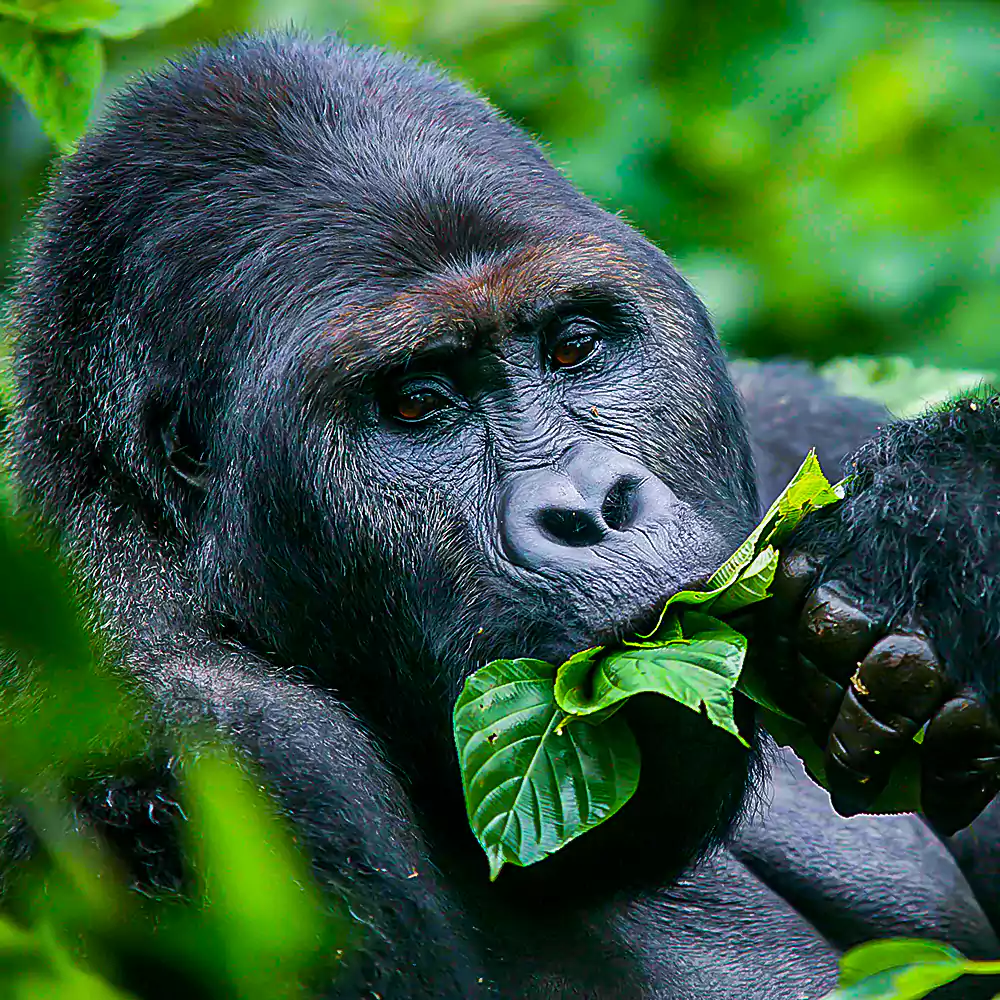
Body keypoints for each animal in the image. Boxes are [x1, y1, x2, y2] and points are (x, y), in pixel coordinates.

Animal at [5, 31, 1000, 1000]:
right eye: (417, 403)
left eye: (573, 346)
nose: (593, 508)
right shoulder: (195, 747)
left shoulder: (798, 423)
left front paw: (938, 517)